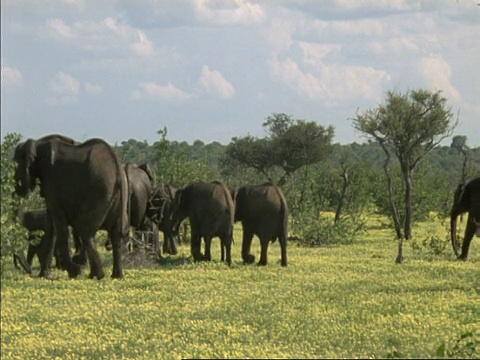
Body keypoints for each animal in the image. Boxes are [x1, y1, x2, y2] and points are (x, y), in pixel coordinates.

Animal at [13, 135, 128, 278]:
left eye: (16, 168)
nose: (29, 272)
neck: (38, 142)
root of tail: (117, 166)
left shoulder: (51, 180)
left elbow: (59, 226)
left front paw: (74, 271)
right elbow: (51, 226)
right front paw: (46, 276)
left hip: (100, 192)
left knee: (85, 231)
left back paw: (96, 275)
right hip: (117, 198)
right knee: (115, 235)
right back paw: (115, 276)